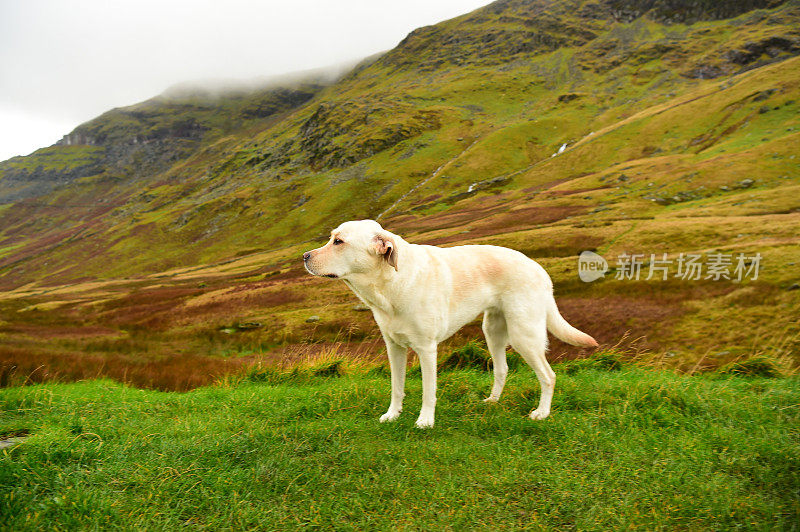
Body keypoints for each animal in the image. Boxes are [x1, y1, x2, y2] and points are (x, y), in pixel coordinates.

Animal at [304, 220, 596, 428]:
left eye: (338, 241)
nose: (305, 256)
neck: (389, 284)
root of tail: (540, 269)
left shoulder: (426, 349)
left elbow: (428, 390)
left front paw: (425, 421)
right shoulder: (394, 347)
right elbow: (396, 387)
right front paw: (392, 415)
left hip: (524, 336)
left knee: (548, 376)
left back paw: (542, 413)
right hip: (493, 332)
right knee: (502, 369)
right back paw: (492, 401)